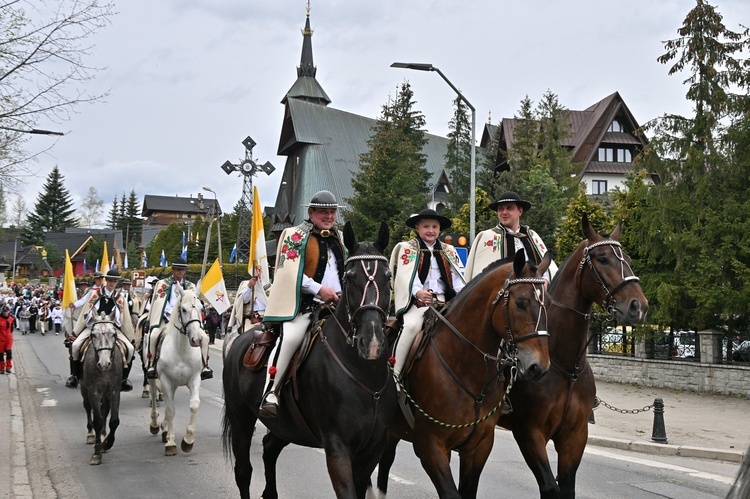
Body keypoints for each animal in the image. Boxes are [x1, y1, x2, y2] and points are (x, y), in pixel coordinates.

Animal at [79, 314, 124, 466]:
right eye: (94, 335)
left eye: (114, 334)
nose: (104, 364)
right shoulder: (94, 391)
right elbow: (97, 420)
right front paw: (97, 453)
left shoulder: (115, 391)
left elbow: (114, 420)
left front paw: (107, 443)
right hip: (84, 388)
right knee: (87, 407)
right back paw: (90, 434)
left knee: (104, 409)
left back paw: (104, 436)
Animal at [144, 286, 206, 458]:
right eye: (183, 309)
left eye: (201, 308)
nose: (197, 339)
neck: (182, 349)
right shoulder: (165, 380)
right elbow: (171, 410)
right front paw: (171, 443)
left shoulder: (194, 379)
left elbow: (194, 405)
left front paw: (188, 441)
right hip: (154, 379)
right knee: (154, 396)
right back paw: (156, 425)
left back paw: (164, 428)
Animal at [220, 222, 396, 499]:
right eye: (349, 277)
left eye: (388, 276)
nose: (372, 342)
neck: (362, 373)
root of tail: (238, 340)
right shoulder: (337, 447)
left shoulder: (373, 448)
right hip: (241, 419)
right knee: (243, 471)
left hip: (287, 425)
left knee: (269, 447)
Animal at [500, 216, 652, 499]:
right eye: (602, 259)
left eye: (627, 258)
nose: (638, 306)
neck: (564, 364)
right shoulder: (529, 433)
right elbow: (550, 487)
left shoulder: (575, 436)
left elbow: (566, 486)